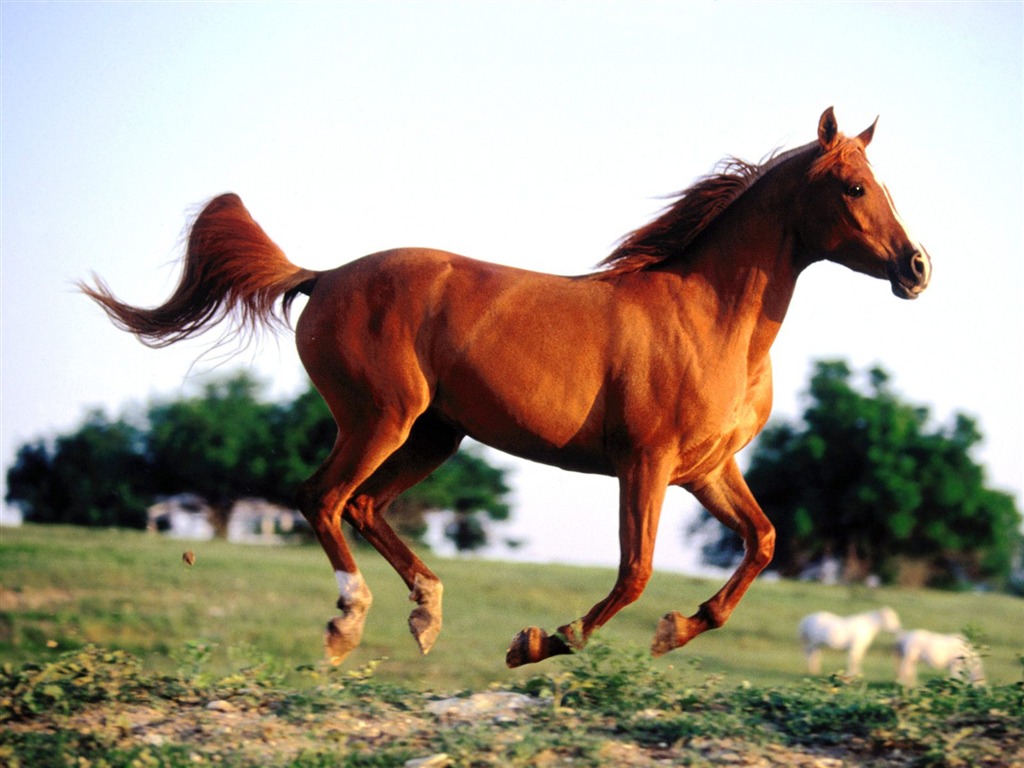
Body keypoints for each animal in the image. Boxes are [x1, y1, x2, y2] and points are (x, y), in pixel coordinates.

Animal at [79, 108, 929, 667]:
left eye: (882, 182)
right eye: (854, 188)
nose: (916, 268)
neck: (710, 317)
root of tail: (323, 277)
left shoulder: (708, 470)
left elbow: (763, 541)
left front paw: (676, 630)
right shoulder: (646, 464)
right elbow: (635, 572)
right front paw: (544, 642)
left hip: (435, 433)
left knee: (363, 505)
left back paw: (426, 615)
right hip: (380, 419)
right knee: (322, 498)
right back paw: (350, 622)